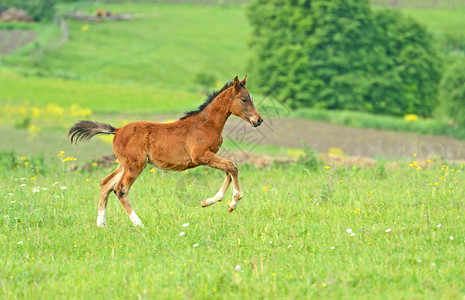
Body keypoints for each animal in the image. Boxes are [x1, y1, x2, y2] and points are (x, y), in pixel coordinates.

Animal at [69, 75, 264, 227]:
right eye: (244, 99)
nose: (259, 120)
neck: (206, 124)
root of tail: (117, 130)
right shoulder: (201, 155)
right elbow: (232, 167)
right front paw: (234, 201)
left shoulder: (210, 155)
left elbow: (228, 170)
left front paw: (209, 202)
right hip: (136, 164)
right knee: (120, 189)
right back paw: (138, 223)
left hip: (124, 164)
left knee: (105, 184)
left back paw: (101, 224)